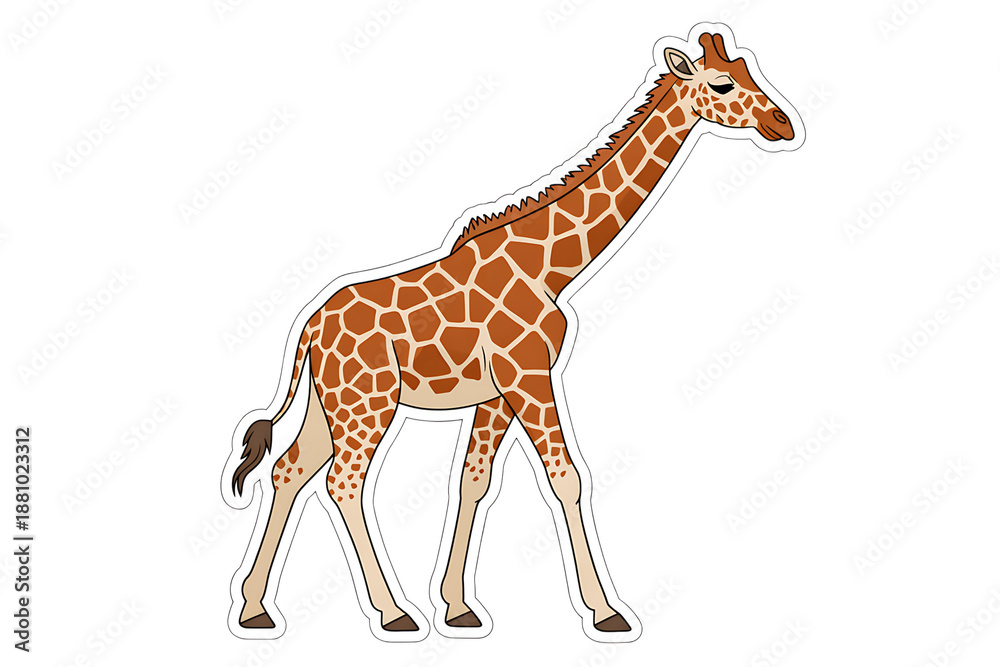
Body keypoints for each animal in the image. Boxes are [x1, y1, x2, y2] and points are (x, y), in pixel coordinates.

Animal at [224, 25, 801, 642]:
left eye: (749, 70)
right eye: (722, 84)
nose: (783, 125)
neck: (555, 269)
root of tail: (308, 327)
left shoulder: (497, 393)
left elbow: (473, 480)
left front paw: (459, 607)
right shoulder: (529, 375)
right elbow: (568, 477)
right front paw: (606, 612)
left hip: (329, 400)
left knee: (291, 469)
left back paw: (255, 608)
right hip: (369, 400)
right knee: (344, 481)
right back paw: (393, 612)